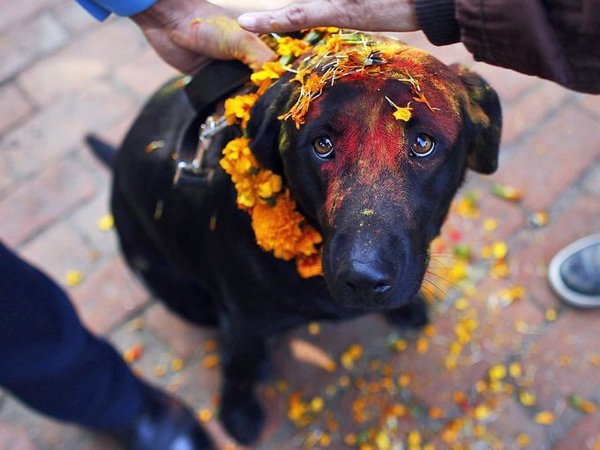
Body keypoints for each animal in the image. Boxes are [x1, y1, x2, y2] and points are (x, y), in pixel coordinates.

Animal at [92, 35, 502, 446]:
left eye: (423, 143)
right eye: (321, 145)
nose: (363, 279)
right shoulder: (244, 321)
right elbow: (238, 367)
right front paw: (237, 413)